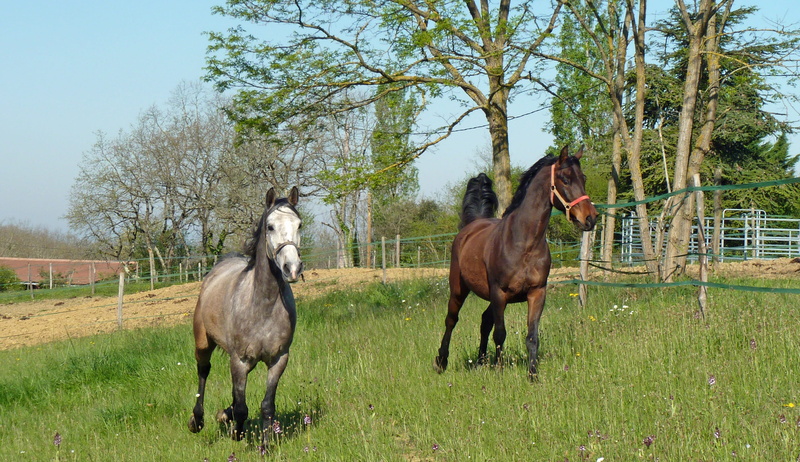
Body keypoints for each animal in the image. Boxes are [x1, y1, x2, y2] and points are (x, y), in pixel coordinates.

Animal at [188, 186, 303, 443]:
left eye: (299, 225)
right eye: (270, 226)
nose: (292, 268)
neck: (262, 306)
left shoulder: (279, 359)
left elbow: (267, 405)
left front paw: (266, 444)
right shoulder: (240, 360)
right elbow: (242, 407)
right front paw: (237, 432)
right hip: (203, 342)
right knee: (203, 371)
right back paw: (197, 420)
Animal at [433, 145, 598, 380]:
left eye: (583, 178)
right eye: (565, 179)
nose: (590, 218)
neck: (523, 244)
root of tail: (472, 225)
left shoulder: (537, 293)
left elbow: (532, 336)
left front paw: (533, 375)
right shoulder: (499, 293)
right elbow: (500, 334)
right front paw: (500, 371)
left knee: (484, 321)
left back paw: (481, 361)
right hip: (459, 289)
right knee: (451, 320)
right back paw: (441, 362)